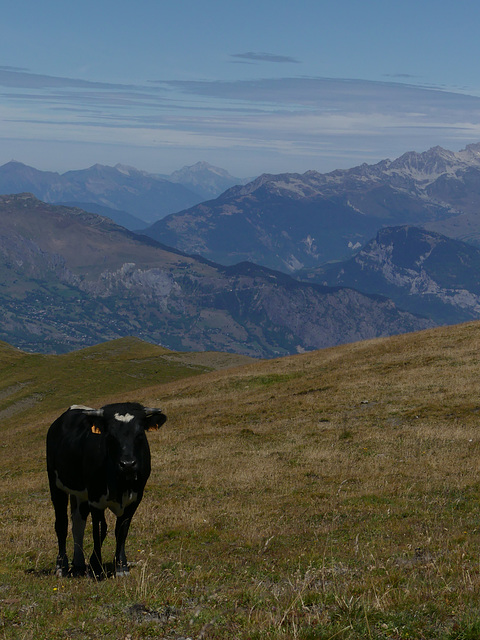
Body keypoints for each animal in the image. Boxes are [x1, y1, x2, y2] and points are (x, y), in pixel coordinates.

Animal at [46, 402, 167, 576]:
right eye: (110, 436)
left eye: (139, 434)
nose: (127, 464)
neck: (122, 484)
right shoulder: (95, 499)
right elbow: (99, 530)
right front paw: (96, 566)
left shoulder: (135, 499)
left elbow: (121, 530)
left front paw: (121, 566)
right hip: (56, 485)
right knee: (61, 524)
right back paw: (61, 566)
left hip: (81, 495)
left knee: (78, 523)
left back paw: (79, 564)